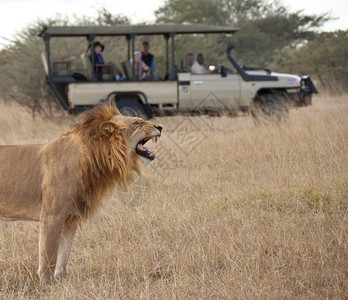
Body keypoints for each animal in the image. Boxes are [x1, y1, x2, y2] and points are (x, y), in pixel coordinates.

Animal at [0, 103, 163, 284]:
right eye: (137, 122)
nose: (160, 127)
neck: (93, 158)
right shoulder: (51, 216)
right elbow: (49, 255)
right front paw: (46, 283)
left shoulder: (71, 218)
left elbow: (63, 254)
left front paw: (60, 281)